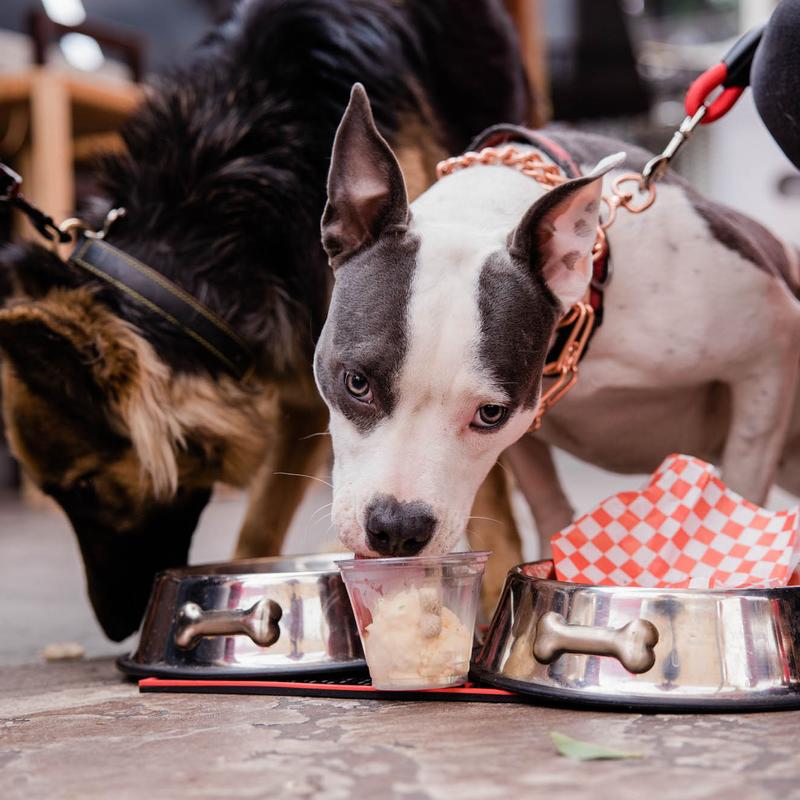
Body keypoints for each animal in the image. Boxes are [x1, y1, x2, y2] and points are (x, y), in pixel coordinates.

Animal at [0, 0, 530, 640]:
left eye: (83, 486)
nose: (115, 625)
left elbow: (484, 480)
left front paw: (498, 593)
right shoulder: (306, 380)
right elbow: (260, 521)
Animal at [315, 84, 800, 599]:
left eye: (490, 414)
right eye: (356, 383)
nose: (397, 528)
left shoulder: (771, 345)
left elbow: (744, 484)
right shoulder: (528, 427)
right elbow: (549, 503)